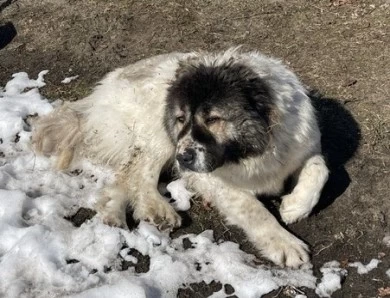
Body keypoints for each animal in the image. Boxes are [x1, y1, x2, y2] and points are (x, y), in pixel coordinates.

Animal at [31, 48, 330, 268]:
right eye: (181, 119)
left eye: (213, 119)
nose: (183, 158)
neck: (253, 151)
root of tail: (95, 96)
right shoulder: (212, 177)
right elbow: (252, 208)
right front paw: (284, 243)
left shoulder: (302, 145)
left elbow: (319, 168)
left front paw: (294, 206)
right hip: (158, 133)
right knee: (138, 173)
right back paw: (155, 209)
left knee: (125, 177)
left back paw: (114, 213)